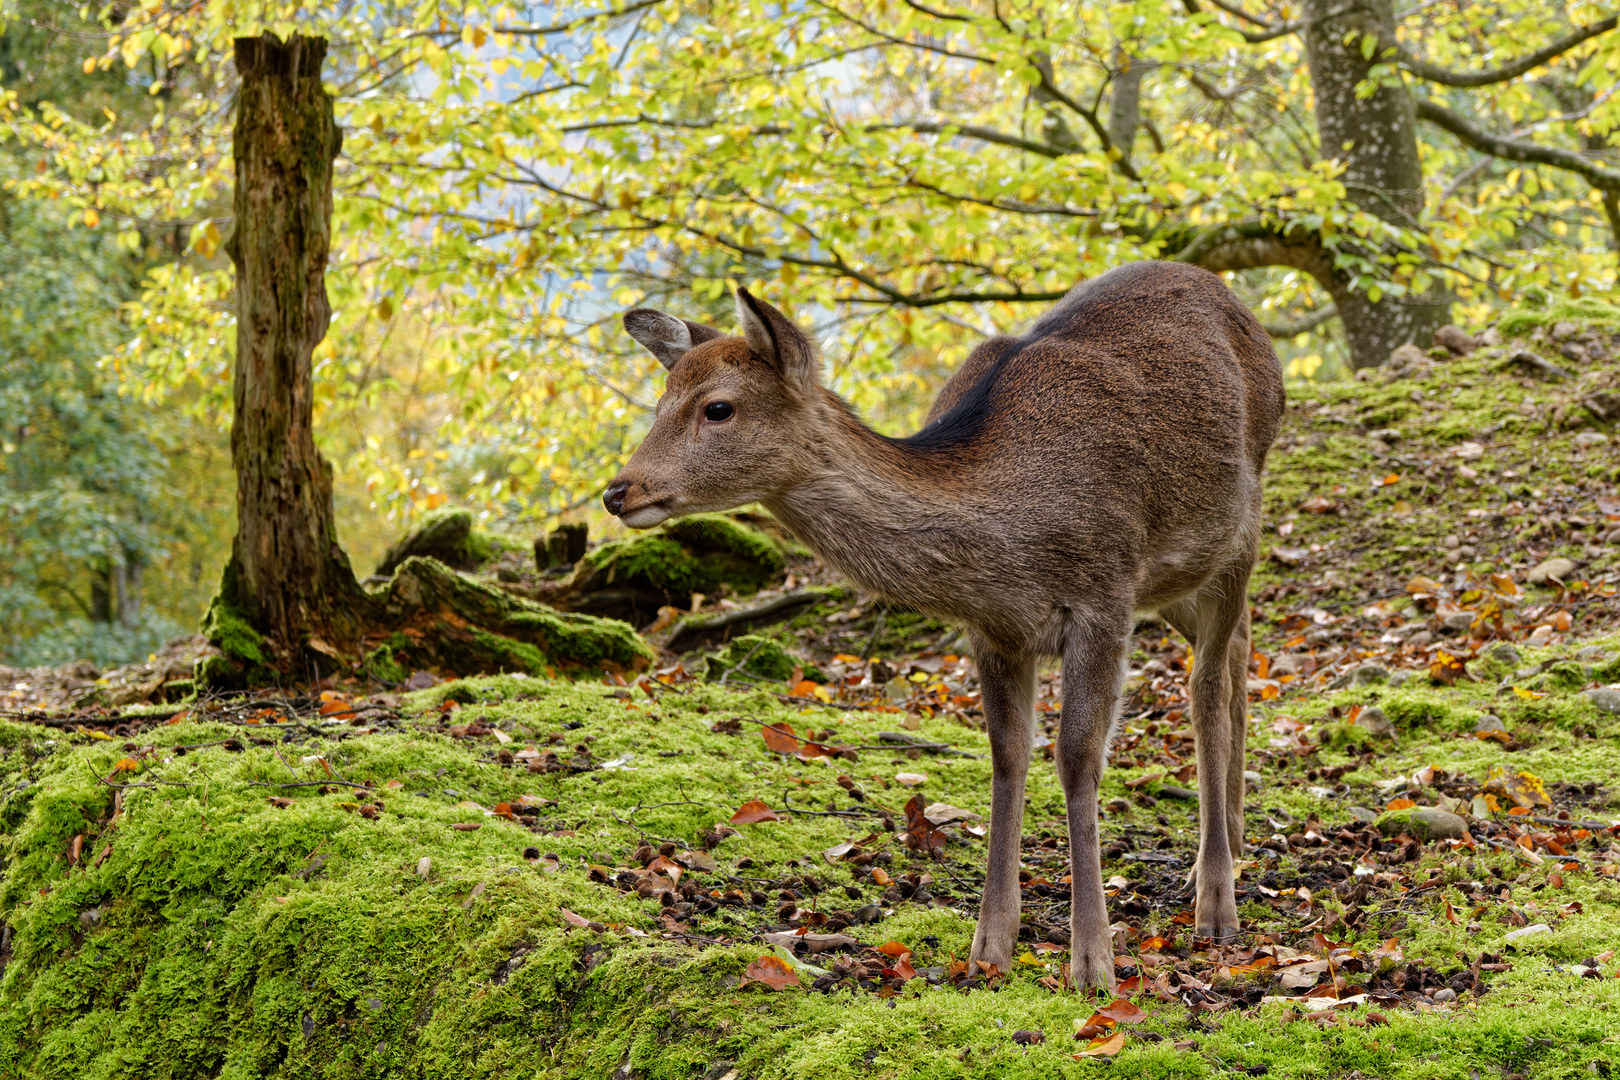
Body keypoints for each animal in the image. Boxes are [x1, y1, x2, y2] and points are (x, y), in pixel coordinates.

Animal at [602, 262, 1283, 990]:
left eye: (718, 408)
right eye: (658, 403)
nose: (619, 491)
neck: (1006, 541)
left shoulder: (1104, 592)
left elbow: (1077, 758)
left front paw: (1093, 963)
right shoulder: (994, 628)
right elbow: (1008, 754)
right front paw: (990, 948)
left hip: (1239, 527)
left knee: (1207, 686)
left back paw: (1216, 900)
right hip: (1178, 581)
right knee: (1238, 647)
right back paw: (1232, 838)